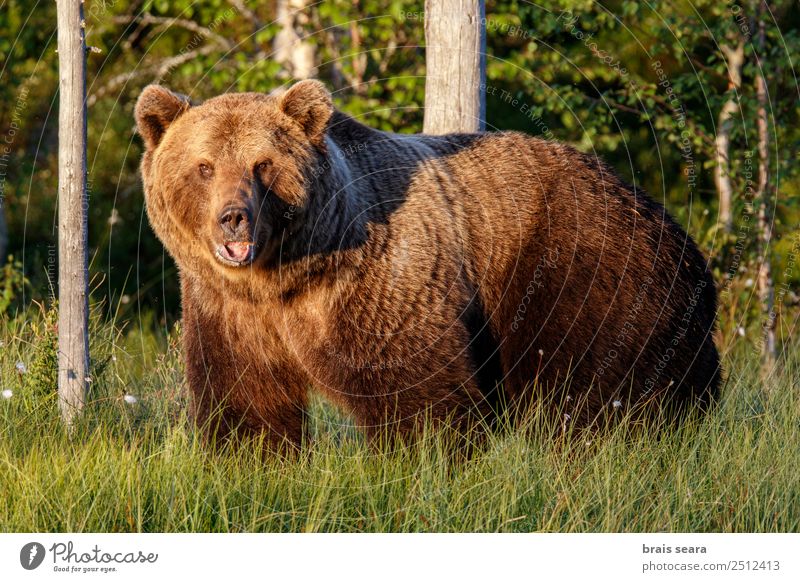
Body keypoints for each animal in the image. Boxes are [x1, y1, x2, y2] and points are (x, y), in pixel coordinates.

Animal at [134, 78, 720, 452]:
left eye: (263, 165)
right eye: (204, 167)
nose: (234, 219)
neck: (284, 277)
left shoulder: (376, 286)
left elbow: (417, 393)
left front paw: (425, 460)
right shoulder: (230, 311)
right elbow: (244, 401)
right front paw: (255, 460)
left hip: (581, 270)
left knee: (592, 388)